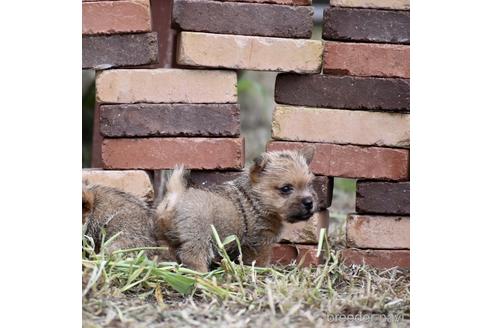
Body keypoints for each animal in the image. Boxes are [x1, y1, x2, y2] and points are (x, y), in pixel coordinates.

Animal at [154, 147, 318, 272]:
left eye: (309, 185)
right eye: (286, 188)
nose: (309, 202)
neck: (256, 200)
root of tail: (175, 196)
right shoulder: (260, 242)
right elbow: (260, 261)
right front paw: (264, 271)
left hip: (165, 239)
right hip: (198, 236)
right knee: (193, 256)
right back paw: (202, 274)